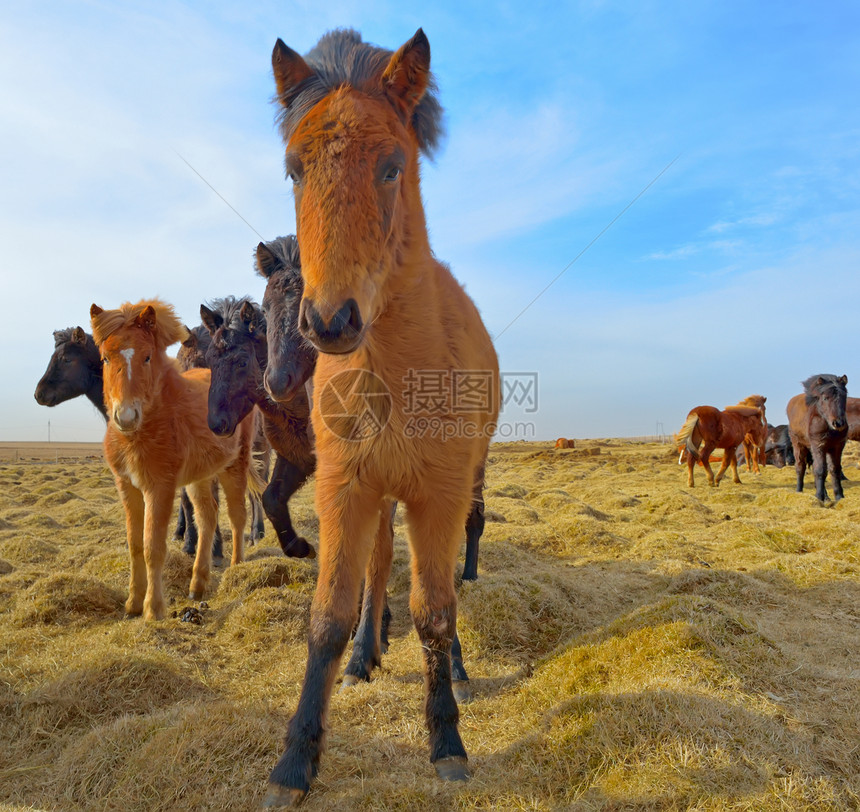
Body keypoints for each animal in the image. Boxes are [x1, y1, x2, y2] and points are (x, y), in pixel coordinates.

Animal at [90, 300, 260, 620]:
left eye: (147, 357)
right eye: (105, 359)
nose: (126, 417)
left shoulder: (160, 487)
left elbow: (153, 547)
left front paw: (153, 609)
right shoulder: (127, 487)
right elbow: (135, 545)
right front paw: (132, 604)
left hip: (234, 465)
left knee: (236, 516)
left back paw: (236, 567)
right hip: (199, 477)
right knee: (207, 516)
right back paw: (198, 584)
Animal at [266, 28, 500, 808]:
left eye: (394, 165)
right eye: (294, 169)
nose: (330, 320)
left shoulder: (439, 495)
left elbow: (435, 610)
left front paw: (447, 741)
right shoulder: (347, 488)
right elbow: (330, 614)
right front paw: (295, 762)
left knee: (449, 576)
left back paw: (455, 668)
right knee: (375, 570)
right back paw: (367, 654)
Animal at [788, 374, 848, 502]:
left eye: (844, 396)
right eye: (825, 398)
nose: (839, 423)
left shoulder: (837, 446)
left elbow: (834, 469)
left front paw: (839, 496)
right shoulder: (818, 445)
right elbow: (820, 470)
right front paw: (819, 497)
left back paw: (826, 496)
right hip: (798, 445)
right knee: (800, 466)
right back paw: (799, 491)